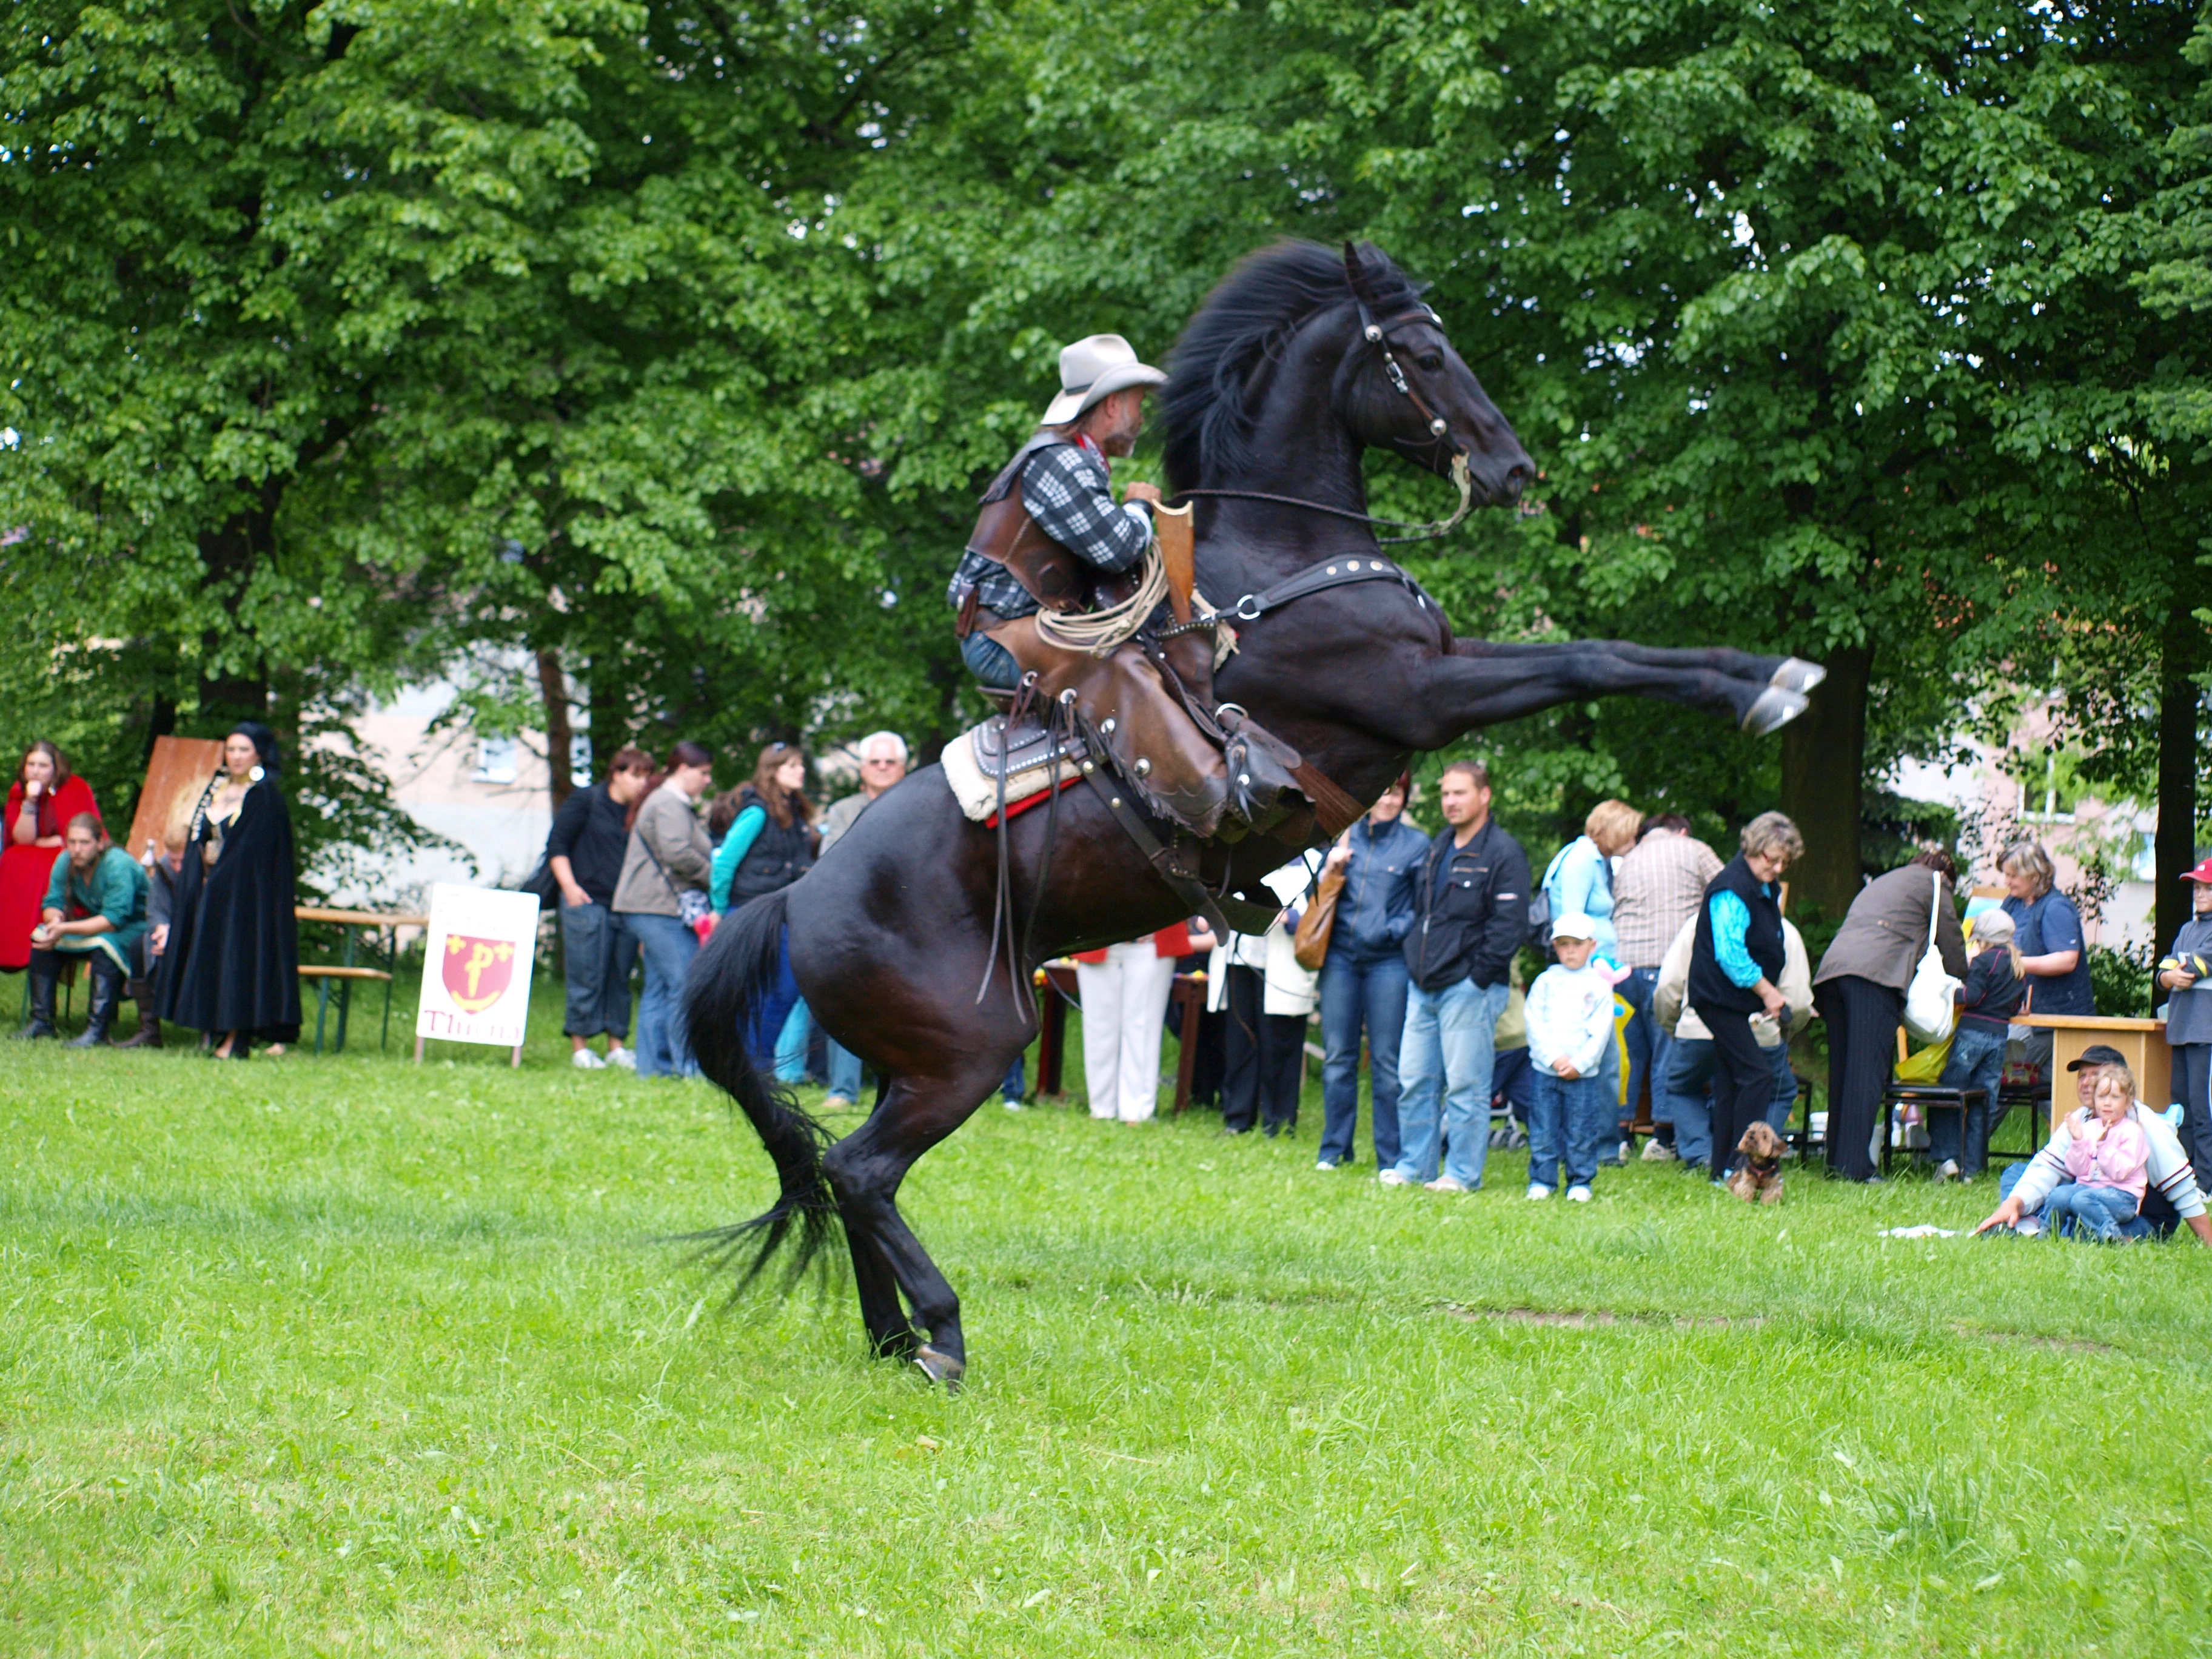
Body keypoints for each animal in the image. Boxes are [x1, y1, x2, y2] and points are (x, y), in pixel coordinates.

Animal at [1725, 1119, 1778, 1212]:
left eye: (1765, 1135)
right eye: (1752, 1128)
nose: (1752, 1133)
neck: (1759, 1161)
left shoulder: (1772, 1183)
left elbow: (1770, 1194)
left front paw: (1767, 1206)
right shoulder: (1747, 1179)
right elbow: (1745, 1189)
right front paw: (1745, 1203)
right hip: (1737, 1173)